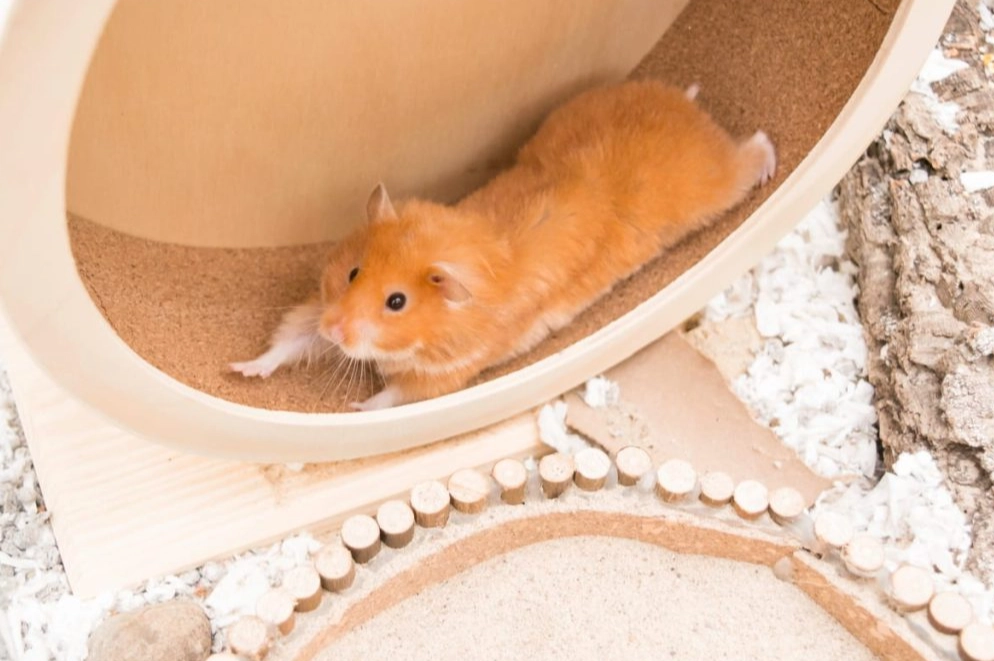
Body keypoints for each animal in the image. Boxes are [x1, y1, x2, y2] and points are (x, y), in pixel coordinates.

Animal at [320, 79, 776, 410]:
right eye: (353, 272)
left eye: (396, 302)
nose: (330, 330)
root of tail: (688, 111)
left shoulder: (448, 375)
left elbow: (395, 395)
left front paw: (356, 409)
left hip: (717, 187)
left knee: (754, 148)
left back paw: (768, 163)